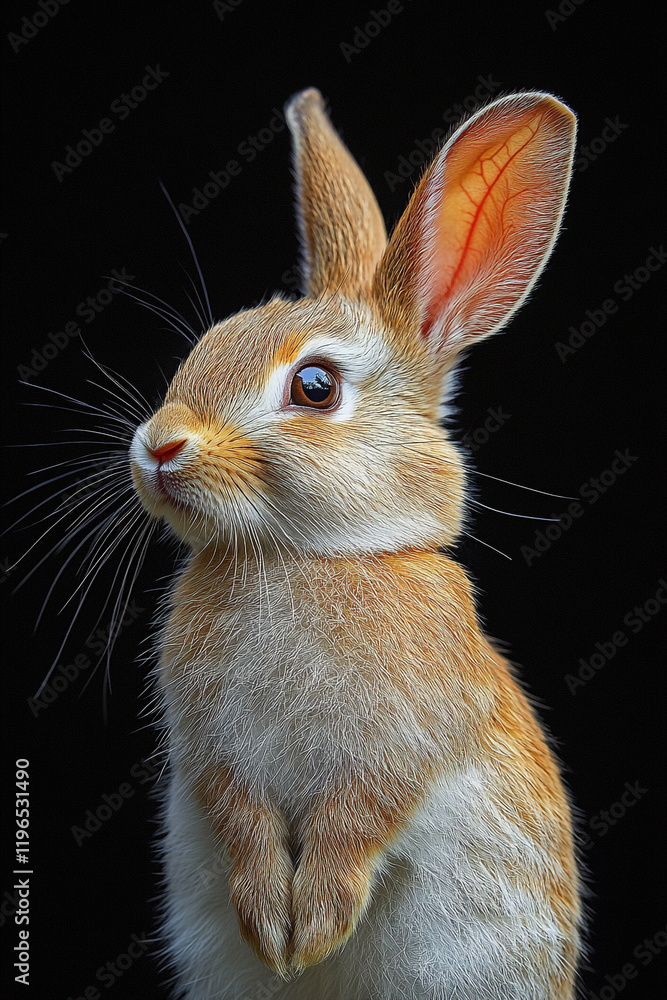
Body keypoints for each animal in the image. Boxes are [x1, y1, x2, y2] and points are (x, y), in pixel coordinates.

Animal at [129, 87, 582, 999]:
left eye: (314, 386)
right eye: (204, 347)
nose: (157, 447)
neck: (304, 557)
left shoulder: (396, 753)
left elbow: (358, 819)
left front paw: (313, 929)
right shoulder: (211, 756)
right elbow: (239, 815)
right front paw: (273, 928)